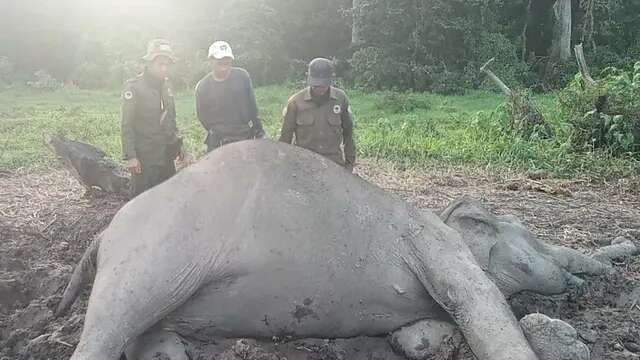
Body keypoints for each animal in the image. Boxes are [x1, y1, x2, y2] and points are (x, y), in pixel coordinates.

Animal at [56, 140, 620, 360]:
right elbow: (484, 306)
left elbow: (420, 335)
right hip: (154, 256)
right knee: (109, 328)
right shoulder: (436, 244)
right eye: (528, 232)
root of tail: (104, 233)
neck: (443, 217)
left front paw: (430, 342)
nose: (583, 281)